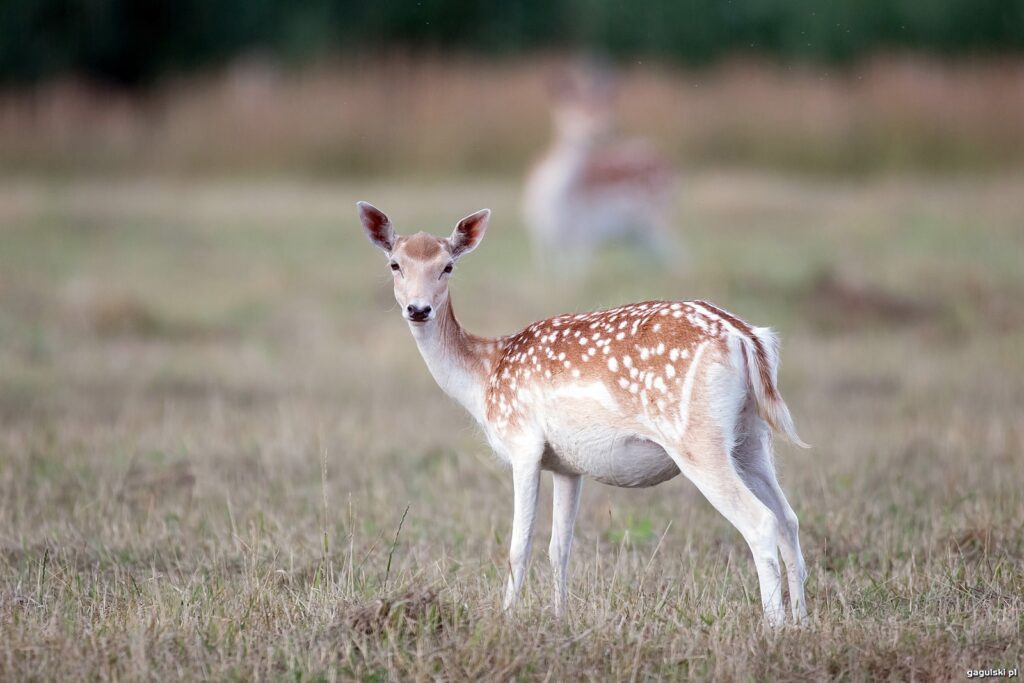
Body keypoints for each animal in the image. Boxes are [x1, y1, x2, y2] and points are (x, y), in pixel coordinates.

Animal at [358, 202, 806, 626]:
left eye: (447, 266)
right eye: (394, 263)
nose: (418, 309)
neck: (485, 378)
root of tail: (746, 338)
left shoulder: (523, 444)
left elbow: (518, 547)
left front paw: (505, 620)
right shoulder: (566, 465)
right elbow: (560, 548)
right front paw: (560, 617)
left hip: (697, 438)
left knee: (761, 522)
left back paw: (773, 627)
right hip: (751, 436)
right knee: (789, 519)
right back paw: (800, 623)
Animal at [520, 68, 679, 274]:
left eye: (607, 108)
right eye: (576, 111)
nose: (606, 129)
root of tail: (666, 159)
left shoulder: (584, 233)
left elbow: (575, 274)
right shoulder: (540, 236)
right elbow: (549, 273)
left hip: (656, 214)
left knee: (679, 255)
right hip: (637, 235)